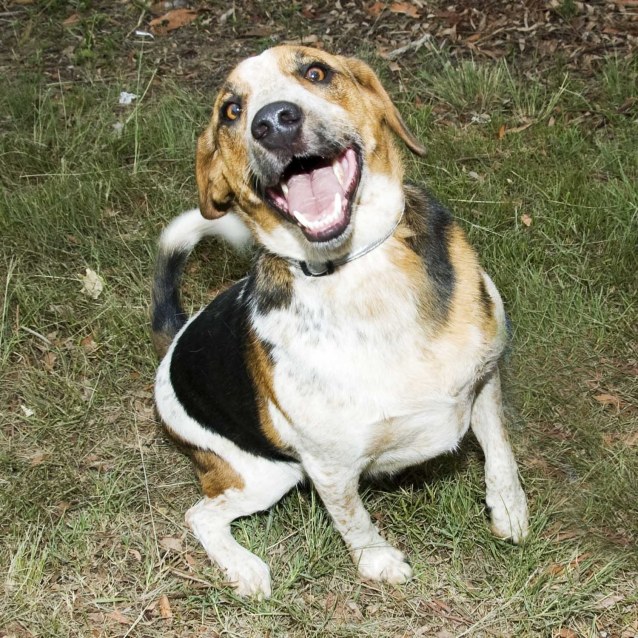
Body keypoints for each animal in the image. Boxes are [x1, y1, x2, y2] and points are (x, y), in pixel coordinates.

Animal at [154, 45, 528, 600]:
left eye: (316, 71)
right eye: (231, 111)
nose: (273, 121)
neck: (361, 271)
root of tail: (172, 341)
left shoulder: (485, 379)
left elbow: (500, 450)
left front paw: (508, 508)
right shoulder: (328, 467)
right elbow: (354, 520)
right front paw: (378, 562)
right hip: (265, 475)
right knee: (200, 514)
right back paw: (244, 567)